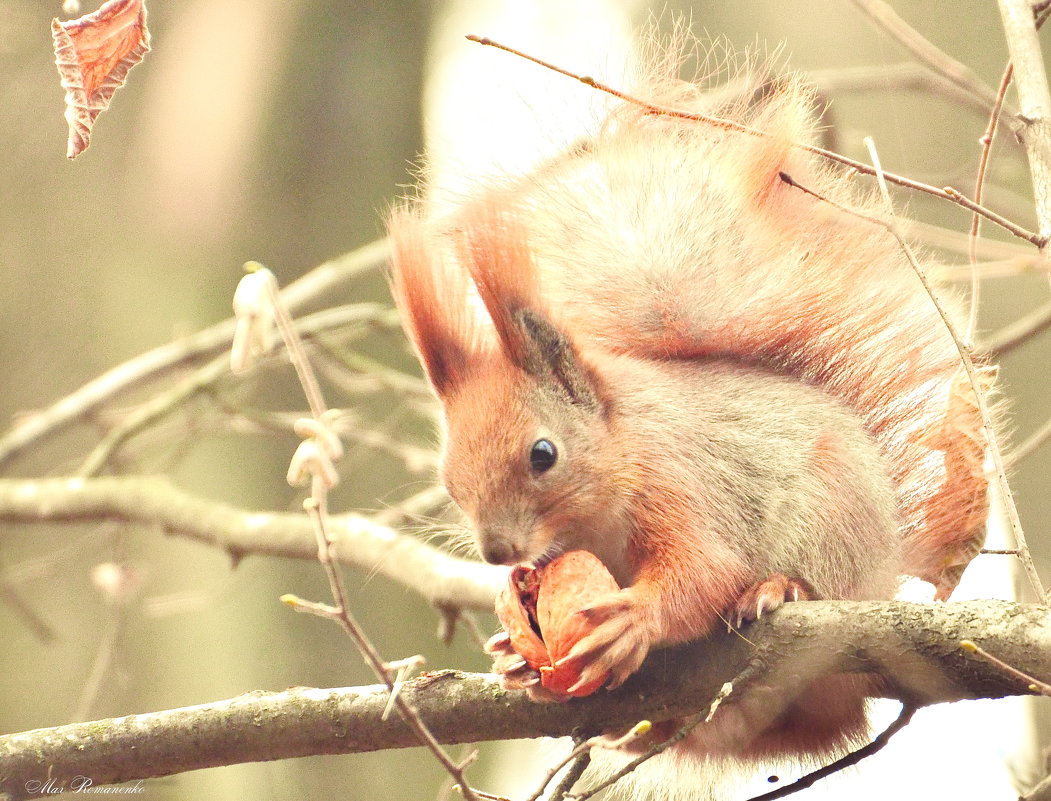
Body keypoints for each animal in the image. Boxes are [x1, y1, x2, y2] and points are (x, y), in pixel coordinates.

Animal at [388, 37, 992, 786]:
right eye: (447, 479)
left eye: (543, 454)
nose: (498, 551)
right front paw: (511, 636)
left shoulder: (681, 484)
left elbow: (704, 570)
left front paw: (635, 618)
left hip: (832, 526)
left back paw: (780, 589)